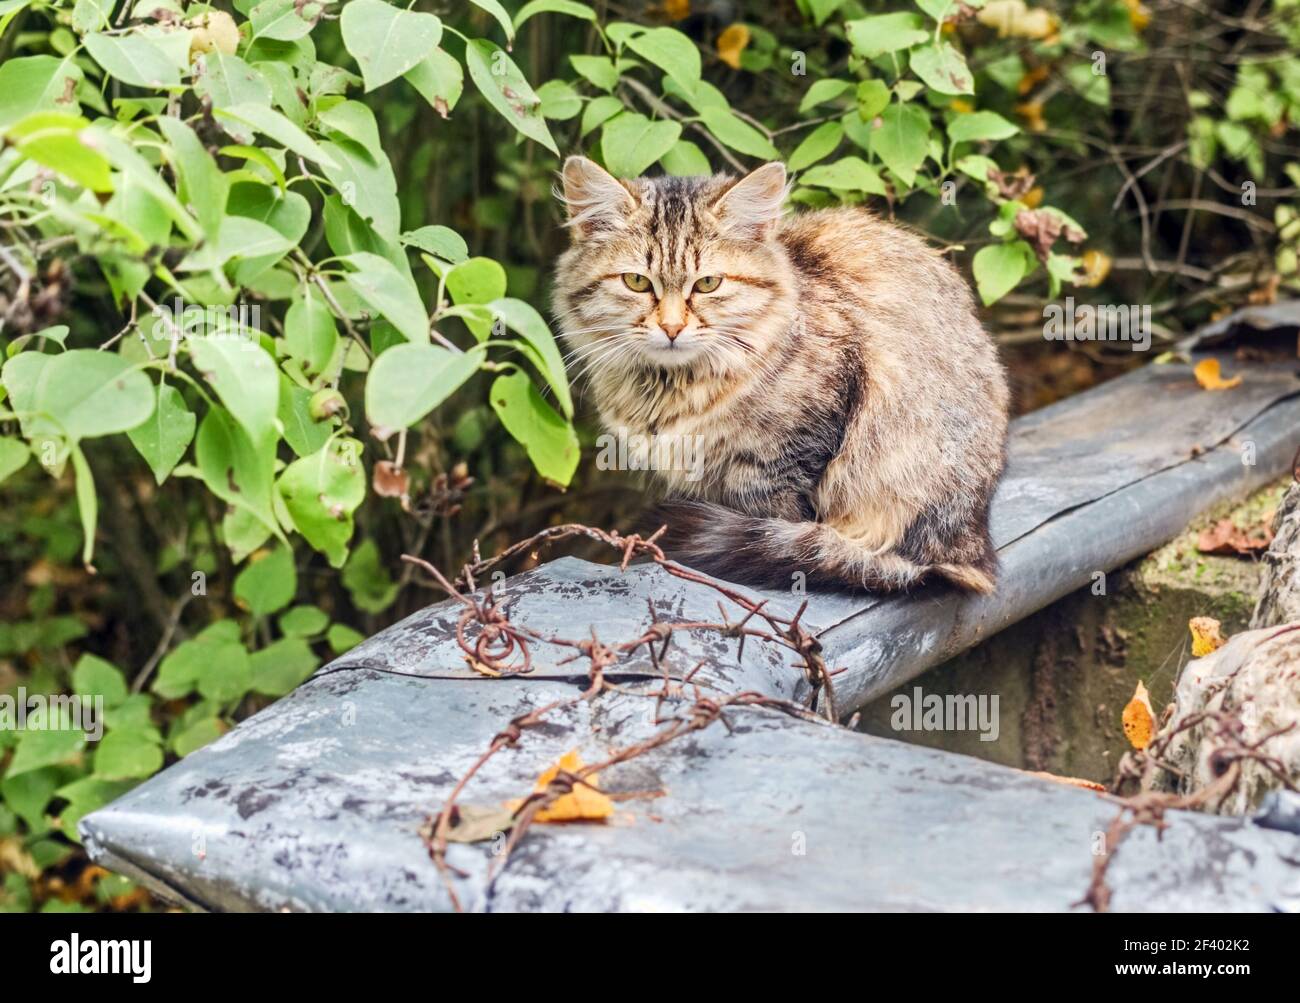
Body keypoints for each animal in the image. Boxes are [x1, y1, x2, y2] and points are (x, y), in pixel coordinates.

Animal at [553, 157, 1008, 595]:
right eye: (636, 282)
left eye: (708, 284)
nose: (671, 328)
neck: (670, 388)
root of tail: (974, 549)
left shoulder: (786, 461)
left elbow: (776, 522)